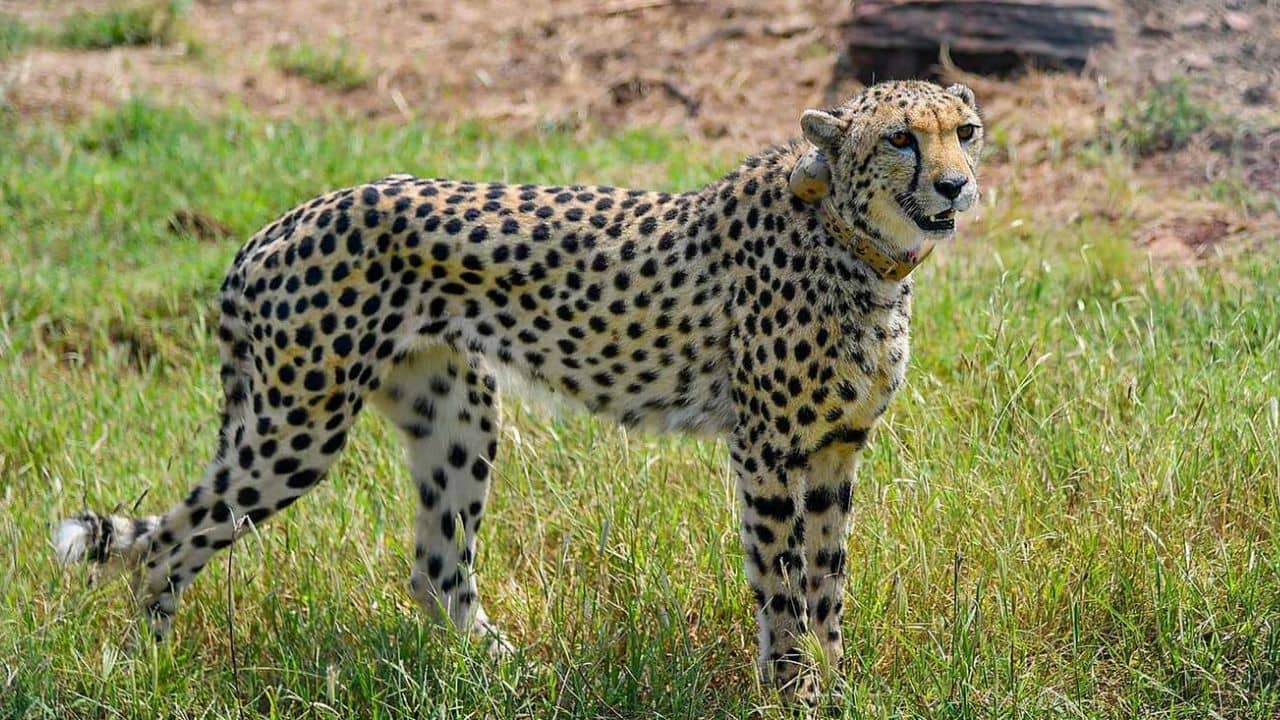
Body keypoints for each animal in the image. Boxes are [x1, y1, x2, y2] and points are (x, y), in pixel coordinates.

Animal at [53, 79, 984, 697]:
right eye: (901, 139)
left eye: (966, 131)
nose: (956, 184)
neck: (861, 247)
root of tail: (278, 224)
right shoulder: (766, 451)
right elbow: (782, 587)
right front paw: (796, 692)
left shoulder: (834, 450)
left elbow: (828, 583)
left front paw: (838, 685)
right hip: (297, 427)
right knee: (171, 542)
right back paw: (147, 671)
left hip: (455, 412)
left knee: (436, 569)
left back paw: (515, 678)